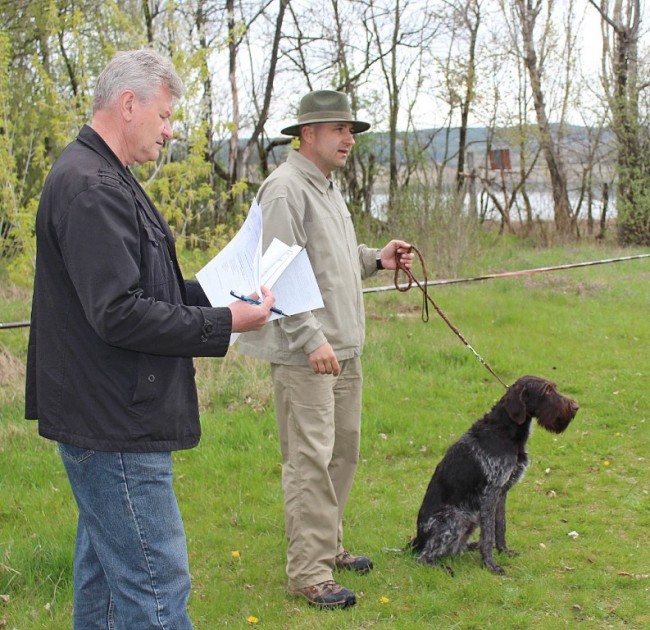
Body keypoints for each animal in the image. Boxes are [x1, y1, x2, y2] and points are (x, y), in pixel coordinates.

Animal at [410, 378, 576, 576]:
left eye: (554, 387)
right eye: (547, 390)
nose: (575, 407)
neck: (504, 430)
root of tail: (417, 542)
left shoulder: (501, 492)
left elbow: (500, 525)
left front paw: (504, 551)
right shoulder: (490, 493)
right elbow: (489, 534)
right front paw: (490, 564)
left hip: (472, 518)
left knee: (455, 549)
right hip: (456, 518)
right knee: (424, 558)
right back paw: (444, 568)